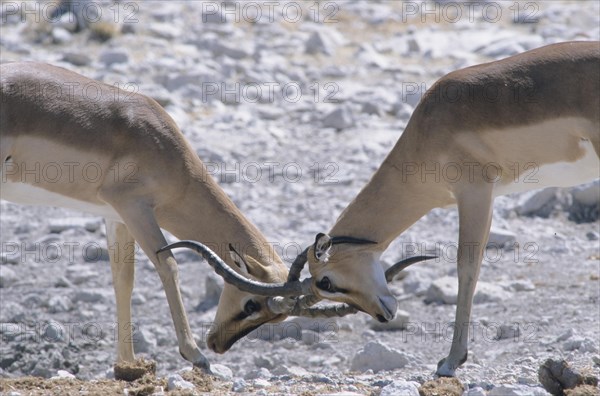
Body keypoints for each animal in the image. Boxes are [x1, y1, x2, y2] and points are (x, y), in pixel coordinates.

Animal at [203, 40, 600, 378]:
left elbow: (466, 267)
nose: (384, 314)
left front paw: (451, 361)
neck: (431, 128)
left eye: (326, 281)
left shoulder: (475, 192)